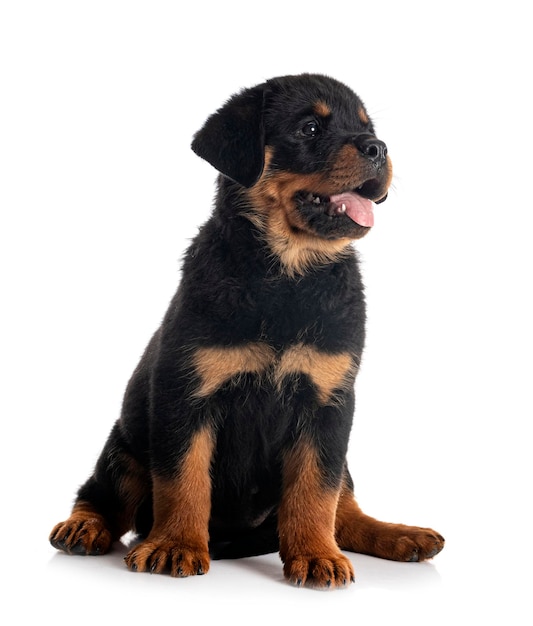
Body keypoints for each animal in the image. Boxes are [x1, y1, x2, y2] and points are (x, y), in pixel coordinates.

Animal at [50, 72, 442, 584]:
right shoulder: (186, 392)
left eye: (367, 129)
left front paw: (315, 554)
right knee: (102, 494)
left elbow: (317, 490)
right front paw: (176, 545)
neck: (287, 275)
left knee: (345, 506)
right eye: (309, 129)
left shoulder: (329, 402)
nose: (378, 147)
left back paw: (399, 535)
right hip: (126, 445)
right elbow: (184, 478)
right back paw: (84, 528)